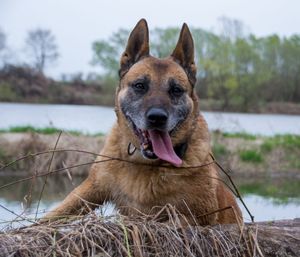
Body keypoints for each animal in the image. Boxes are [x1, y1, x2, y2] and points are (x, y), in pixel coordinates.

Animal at [45, 18, 243, 224]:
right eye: (140, 85)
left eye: (176, 90)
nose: (157, 118)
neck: (145, 164)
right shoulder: (91, 188)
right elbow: (53, 215)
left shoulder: (196, 216)